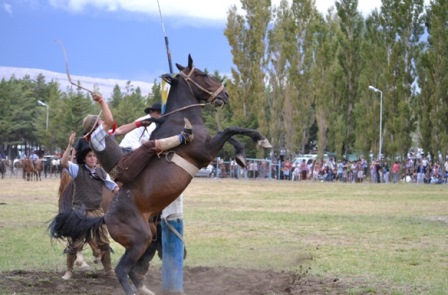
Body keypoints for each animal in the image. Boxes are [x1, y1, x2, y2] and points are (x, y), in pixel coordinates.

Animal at [50, 55, 272, 295]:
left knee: (133, 269)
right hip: (140, 240)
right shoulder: (205, 152)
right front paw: (260, 141)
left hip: (149, 235)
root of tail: (105, 216)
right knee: (122, 269)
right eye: (202, 74)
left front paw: (242, 154)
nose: (225, 95)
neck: (181, 119)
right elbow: (230, 130)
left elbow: (230, 134)